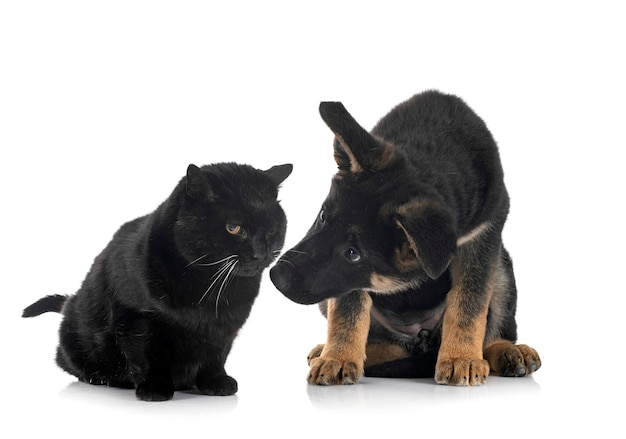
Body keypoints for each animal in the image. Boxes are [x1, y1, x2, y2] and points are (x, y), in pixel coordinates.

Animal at [21, 162, 290, 402]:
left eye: (271, 229)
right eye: (233, 227)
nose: (261, 252)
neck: (211, 291)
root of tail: (70, 303)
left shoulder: (226, 327)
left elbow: (216, 356)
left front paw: (216, 382)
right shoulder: (135, 318)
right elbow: (146, 355)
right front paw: (154, 388)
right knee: (66, 360)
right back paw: (97, 377)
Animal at [270, 91, 540, 386]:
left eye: (353, 253)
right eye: (322, 216)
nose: (275, 276)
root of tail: (419, 339)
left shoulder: (482, 238)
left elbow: (469, 304)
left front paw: (461, 358)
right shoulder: (346, 282)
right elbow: (347, 310)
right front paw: (338, 358)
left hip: (501, 268)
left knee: (492, 330)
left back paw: (508, 351)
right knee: (383, 345)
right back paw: (329, 351)